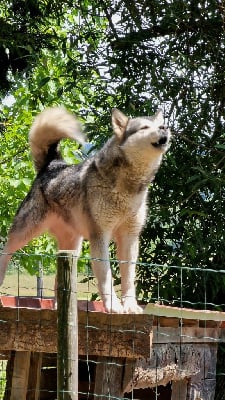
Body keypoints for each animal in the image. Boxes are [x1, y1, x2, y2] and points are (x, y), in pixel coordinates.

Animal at [0, 106, 171, 312]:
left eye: (160, 124)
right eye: (144, 127)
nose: (165, 128)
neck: (128, 187)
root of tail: (53, 164)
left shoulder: (130, 237)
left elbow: (129, 278)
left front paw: (130, 307)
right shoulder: (100, 236)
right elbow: (107, 277)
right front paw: (113, 307)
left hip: (72, 248)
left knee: (59, 281)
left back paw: (59, 308)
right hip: (23, 234)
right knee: (4, 253)